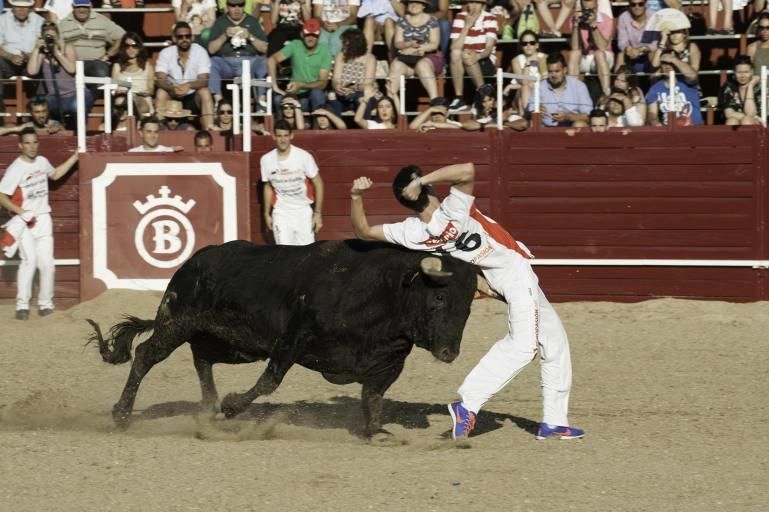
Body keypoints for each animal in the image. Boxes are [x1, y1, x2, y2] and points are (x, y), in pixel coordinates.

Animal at [90, 239, 486, 436]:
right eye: (439, 298)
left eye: (468, 304)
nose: (449, 352)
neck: (383, 293)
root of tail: (191, 263)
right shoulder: (293, 339)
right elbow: (270, 381)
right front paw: (234, 405)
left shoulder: (388, 361)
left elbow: (373, 396)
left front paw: (376, 431)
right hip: (178, 320)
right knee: (146, 354)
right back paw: (123, 415)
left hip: (234, 343)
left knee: (202, 357)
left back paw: (210, 409)